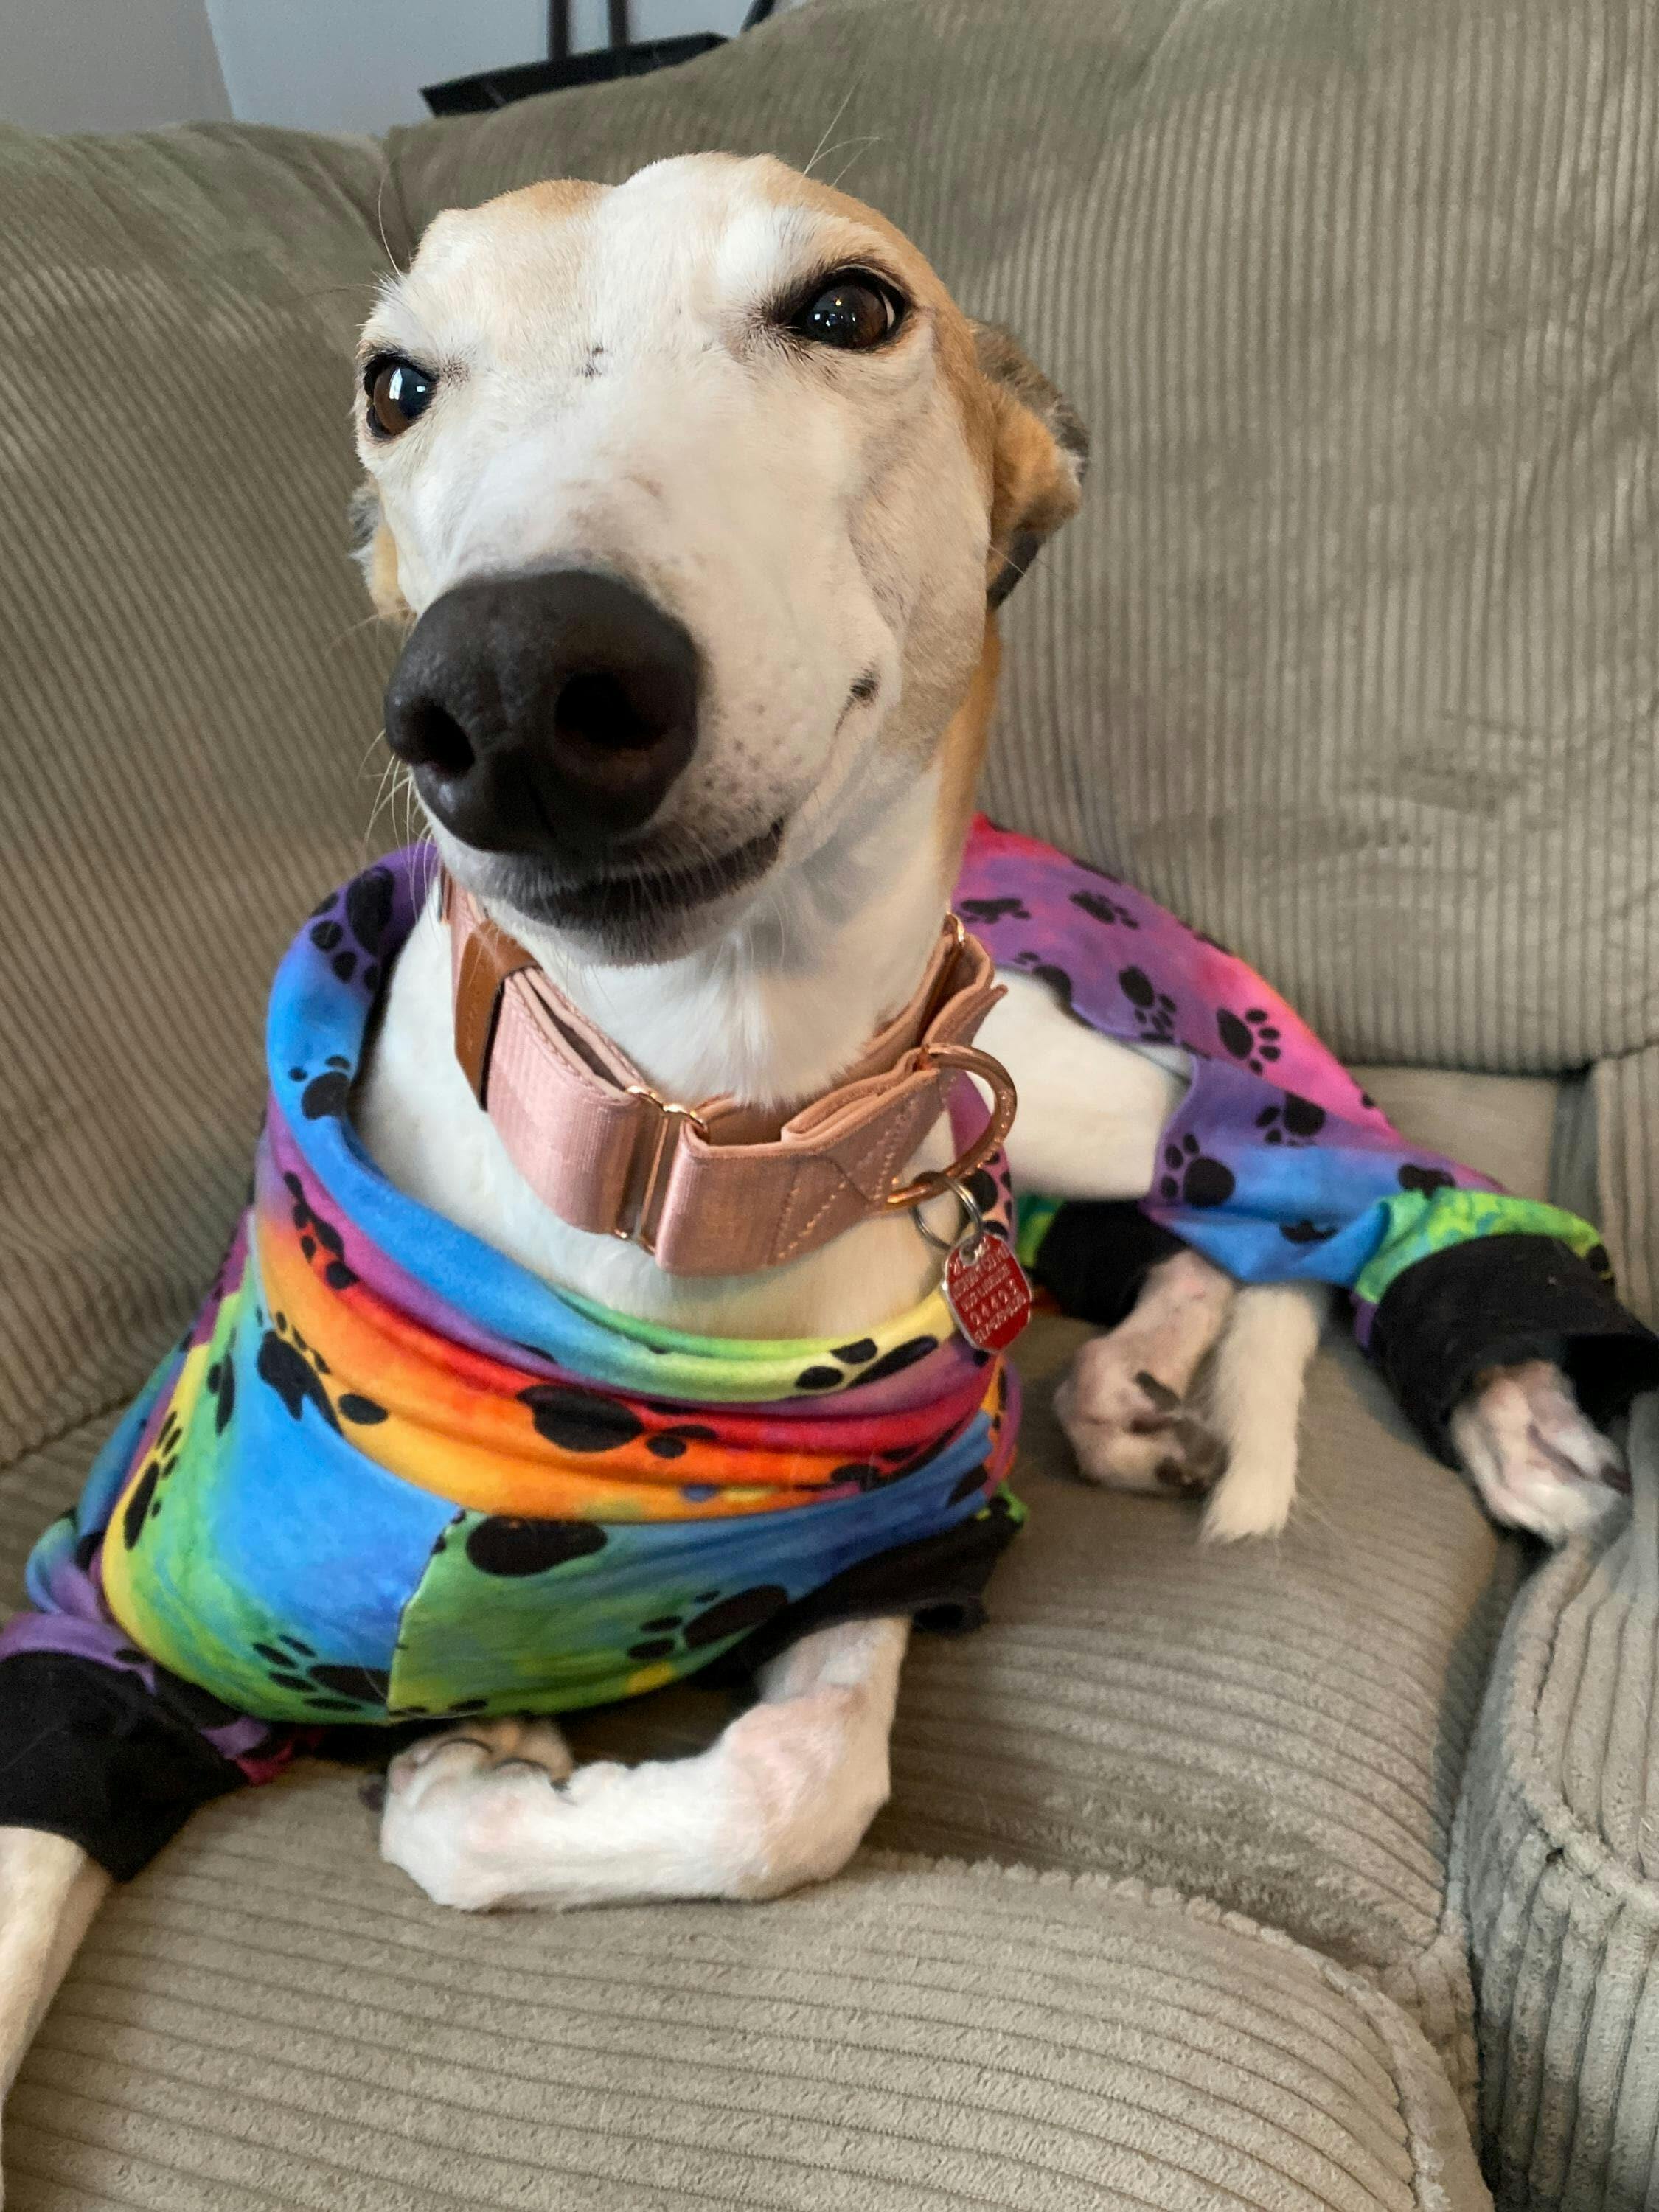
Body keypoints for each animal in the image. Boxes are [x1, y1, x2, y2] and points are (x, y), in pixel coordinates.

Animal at [0, 155, 1634, 2157]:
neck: (693, 1137)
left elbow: (791, 1785)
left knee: (1323, 1195)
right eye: (395, 382)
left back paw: (1499, 1392)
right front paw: (473, 1748)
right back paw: (1132, 1391)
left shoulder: (899, 1556)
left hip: (1086, 1078)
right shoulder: (102, 1612)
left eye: (850, 307)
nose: (514, 690)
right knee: (1180, 1249)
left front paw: (466, 1773)